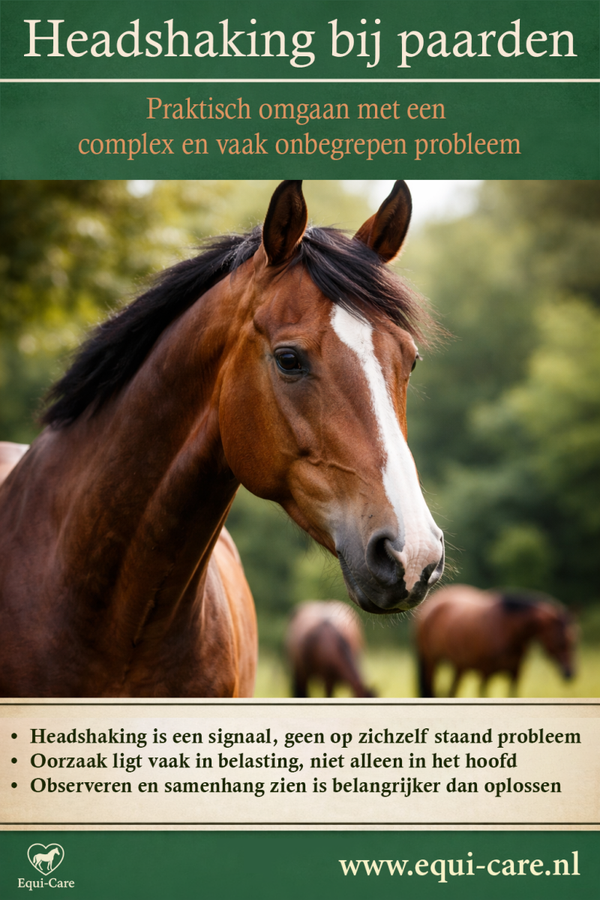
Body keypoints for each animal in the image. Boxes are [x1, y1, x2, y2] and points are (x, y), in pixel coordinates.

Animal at [415, 584, 577, 697]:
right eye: (560, 641)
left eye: (573, 640)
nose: (570, 674)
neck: (508, 629)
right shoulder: (486, 674)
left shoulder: (515, 675)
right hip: (431, 661)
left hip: (459, 667)